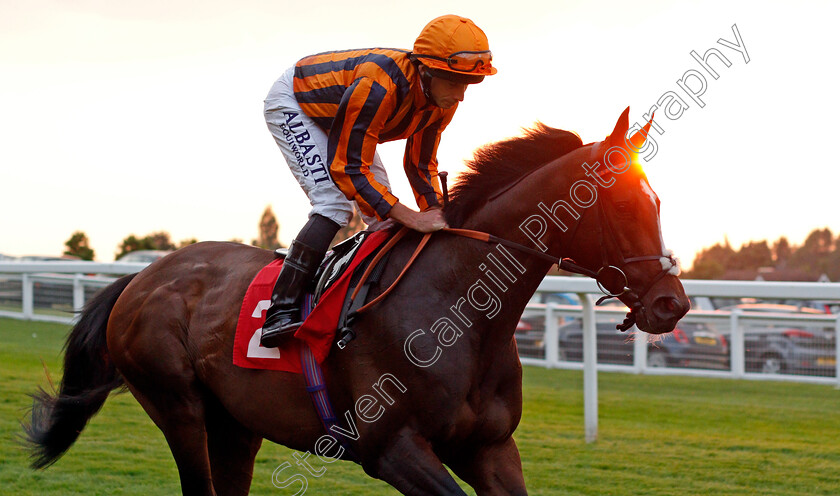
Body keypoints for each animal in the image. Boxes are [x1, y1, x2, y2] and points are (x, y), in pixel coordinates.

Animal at [24, 108, 688, 496]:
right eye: (622, 205)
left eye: (657, 203)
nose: (671, 304)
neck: (461, 314)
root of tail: (141, 278)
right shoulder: (391, 449)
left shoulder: (491, 448)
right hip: (178, 407)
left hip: (235, 424)